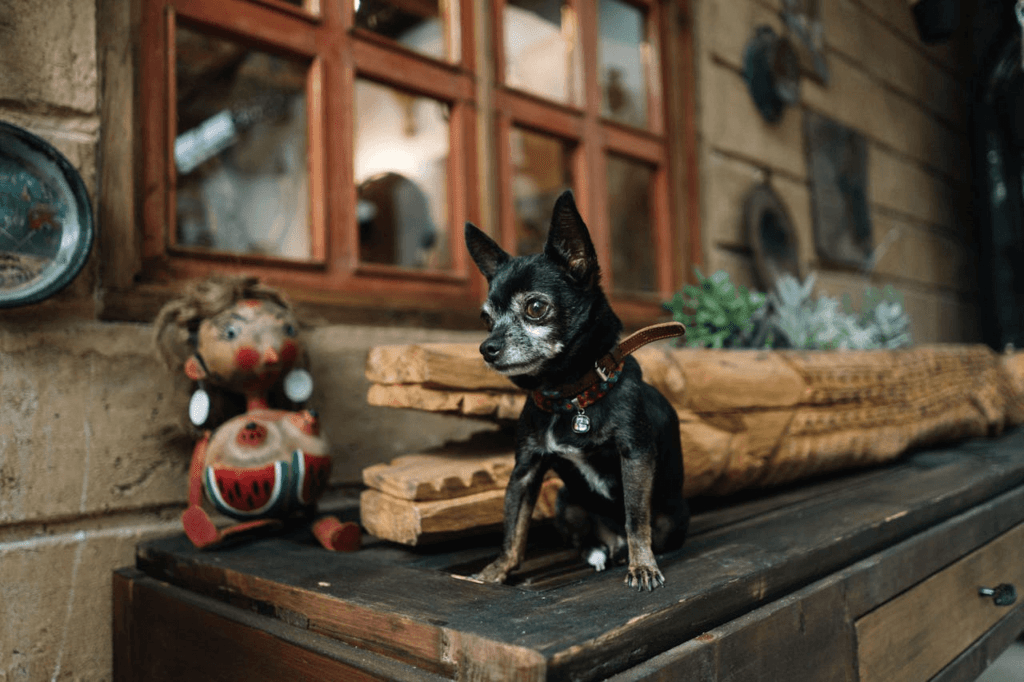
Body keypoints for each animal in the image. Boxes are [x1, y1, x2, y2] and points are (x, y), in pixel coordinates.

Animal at [464, 188, 688, 585]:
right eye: (486, 319)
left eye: (536, 307)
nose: (487, 348)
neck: (570, 395)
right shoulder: (525, 470)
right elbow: (513, 529)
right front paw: (497, 571)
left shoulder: (636, 457)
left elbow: (636, 518)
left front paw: (643, 565)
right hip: (564, 502)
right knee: (591, 539)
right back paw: (599, 551)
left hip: (672, 520)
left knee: (640, 529)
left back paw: (624, 553)